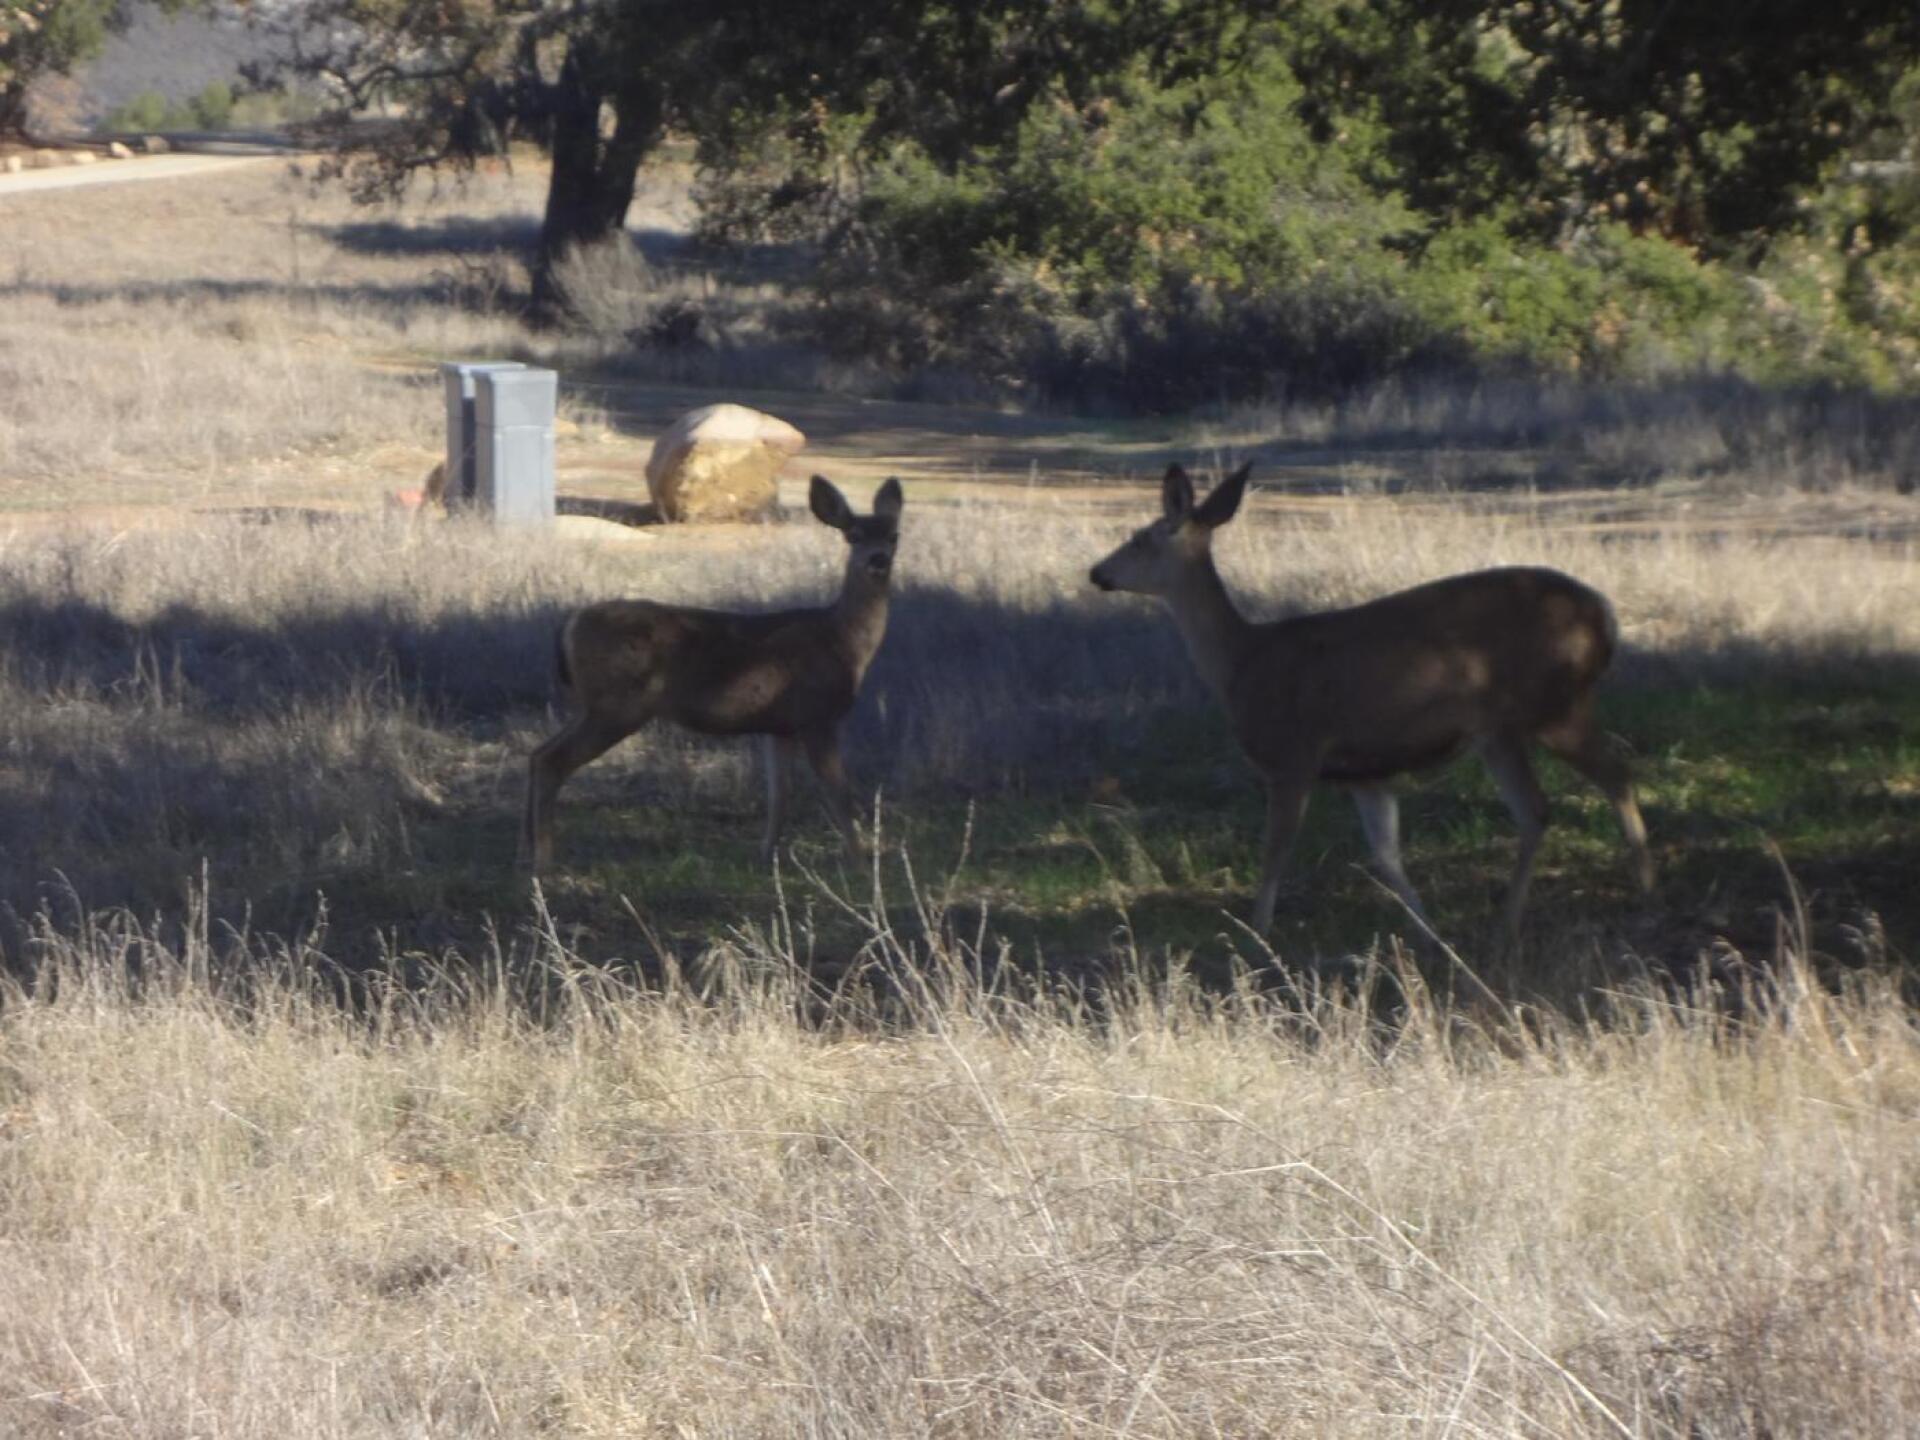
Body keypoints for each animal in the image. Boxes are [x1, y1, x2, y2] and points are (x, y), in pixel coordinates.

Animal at [522, 475, 903, 874]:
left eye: (894, 535)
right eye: (853, 535)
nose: (878, 560)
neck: (843, 641)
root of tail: (569, 626)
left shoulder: (780, 726)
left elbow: (779, 796)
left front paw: (766, 858)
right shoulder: (817, 715)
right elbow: (838, 794)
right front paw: (862, 865)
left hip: (596, 706)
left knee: (537, 754)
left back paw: (527, 850)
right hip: (617, 705)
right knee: (552, 761)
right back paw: (544, 864)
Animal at [1090, 462, 1654, 942]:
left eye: (1139, 539)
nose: (1097, 573)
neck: (1242, 662)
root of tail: (1605, 616)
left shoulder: (1292, 755)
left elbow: (1275, 853)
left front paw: (1258, 935)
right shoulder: (1364, 772)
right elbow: (1386, 856)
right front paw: (1430, 933)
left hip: (1555, 704)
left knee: (1617, 776)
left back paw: (1644, 891)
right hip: (1499, 732)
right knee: (1536, 810)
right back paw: (1506, 924)